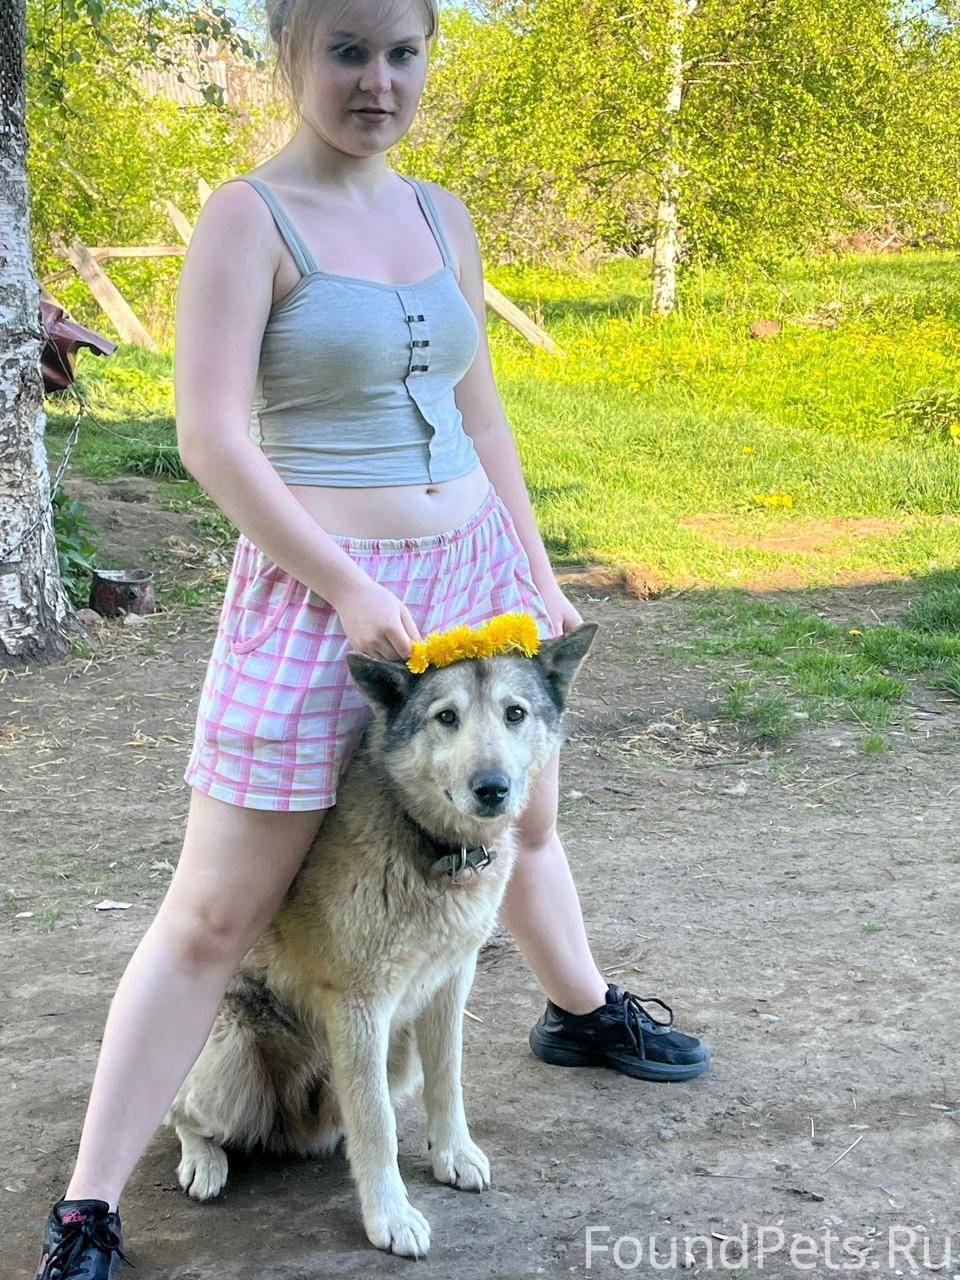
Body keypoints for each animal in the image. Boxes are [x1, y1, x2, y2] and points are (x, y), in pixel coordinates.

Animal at [162, 621, 597, 1257]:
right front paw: (389, 1217)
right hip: (232, 1053)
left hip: (398, 1052)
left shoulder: (449, 984)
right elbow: (376, 1126)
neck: (433, 848)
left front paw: (452, 1154)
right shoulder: (360, 1003)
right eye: (446, 717)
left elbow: (447, 1082)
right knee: (179, 1113)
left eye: (515, 713)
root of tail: (296, 1130)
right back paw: (203, 1160)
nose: (492, 788)